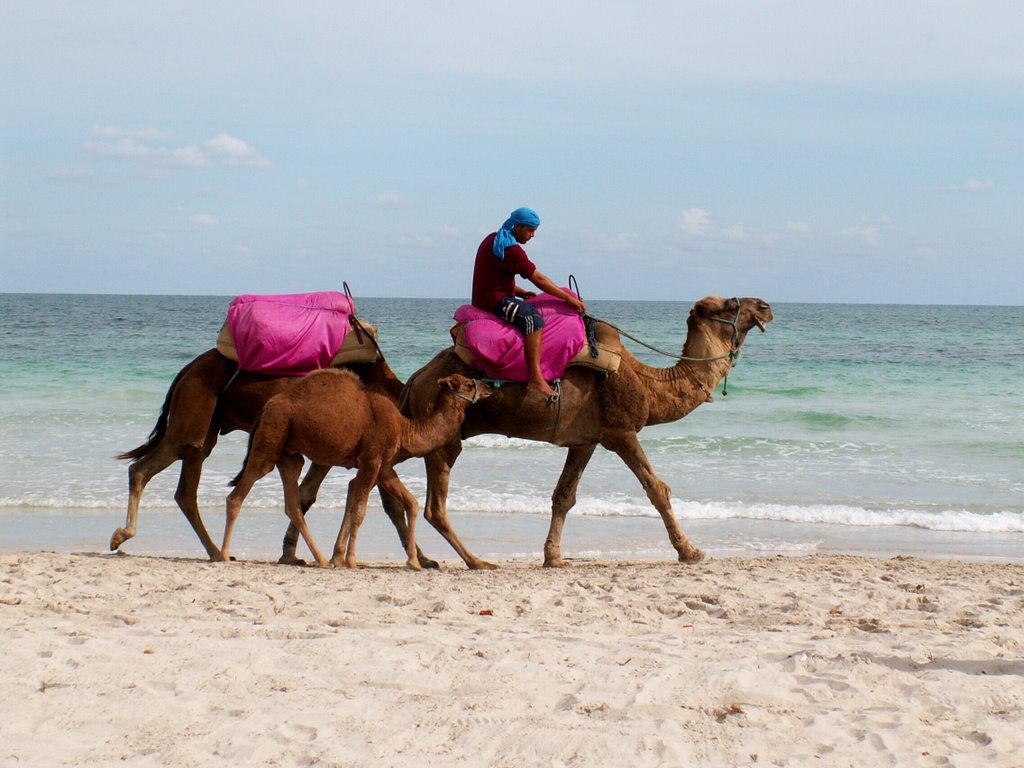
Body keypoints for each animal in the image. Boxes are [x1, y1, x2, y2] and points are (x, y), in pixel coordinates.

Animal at [105, 348, 421, 565]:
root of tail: (187, 368)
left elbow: (312, 495)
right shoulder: (356, 451)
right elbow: (372, 499)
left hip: (205, 430)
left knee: (174, 485)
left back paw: (211, 550)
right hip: (192, 420)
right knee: (156, 472)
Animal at [222, 372, 493, 573]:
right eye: (469, 384)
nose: (489, 386)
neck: (404, 428)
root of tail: (266, 407)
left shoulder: (384, 467)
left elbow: (409, 503)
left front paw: (414, 561)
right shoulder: (371, 460)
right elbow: (360, 510)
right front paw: (351, 560)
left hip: (288, 453)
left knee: (293, 503)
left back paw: (321, 560)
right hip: (270, 438)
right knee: (239, 493)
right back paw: (223, 555)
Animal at [403, 294, 770, 573]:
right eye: (729, 305)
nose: (765, 306)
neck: (648, 384)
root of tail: (417, 377)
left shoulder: (586, 441)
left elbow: (564, 496)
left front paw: (554, 557)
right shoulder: (621, 431)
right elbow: (657, 488)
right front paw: (690, 552)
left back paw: (425, 558)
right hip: (443, 436)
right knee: (434, 506)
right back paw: (475, 561)